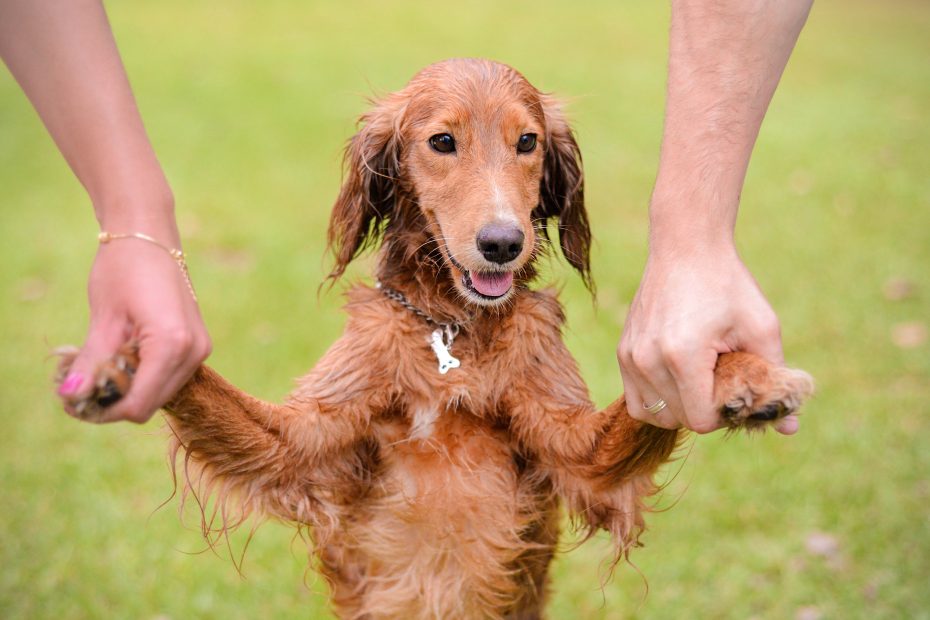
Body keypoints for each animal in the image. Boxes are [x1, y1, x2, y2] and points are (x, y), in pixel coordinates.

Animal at [58, 59, 812, 620]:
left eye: (527, 142)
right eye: (442, 142)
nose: (503, 242)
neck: (454, 330)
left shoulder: (576, 450)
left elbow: (636, 415)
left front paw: (746, 377)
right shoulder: (302, 442)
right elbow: (206, 387)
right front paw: (126, 361)